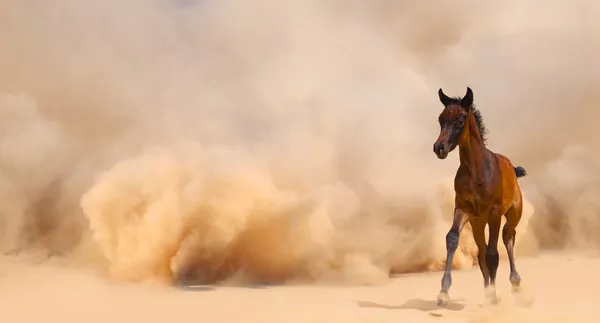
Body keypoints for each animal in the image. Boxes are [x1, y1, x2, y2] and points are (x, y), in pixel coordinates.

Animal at [434, 87, 528, 308]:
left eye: (460, 119)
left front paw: (493, 296)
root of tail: (512, 166)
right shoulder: (463, 209)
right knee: (481, 251)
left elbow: (493, 254)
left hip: (512, 215)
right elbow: (452, 239)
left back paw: (515, 284)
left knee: (508, 237)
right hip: (478, 223)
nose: (439, 148)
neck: (476, 172)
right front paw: (443, 293)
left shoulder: (494, 213)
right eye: (441, 118)